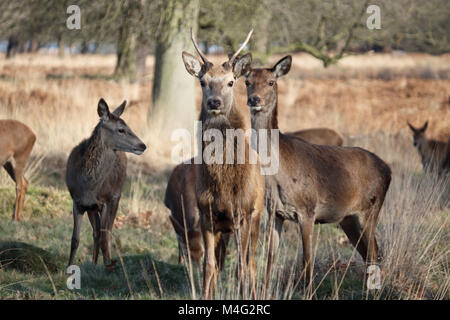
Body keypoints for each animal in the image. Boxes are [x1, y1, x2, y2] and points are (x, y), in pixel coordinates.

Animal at [66, 99, 147, 268]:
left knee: (107, 233)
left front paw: (107, 266)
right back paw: (94, 263)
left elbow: (105, 237)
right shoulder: (77, 201)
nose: (143, 145)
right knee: (96, 232)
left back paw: (106, 262)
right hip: (92, 208)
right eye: (121, 129)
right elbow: (75, 239)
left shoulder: (106, 200)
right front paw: (68, 268)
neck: (87, 186)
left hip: (116, 196)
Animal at [182, 28, 268, 298]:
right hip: (225, 228)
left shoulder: (244, 214)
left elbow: (242, 266)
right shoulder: (206, 215)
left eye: (231, 82)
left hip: (257, 216)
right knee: (220, 262)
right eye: (203, 81)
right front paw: (205, 295)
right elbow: (209, 266)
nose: (214, 103)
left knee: (251, 263)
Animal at [244, 55, 392, 298]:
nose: (254, 99)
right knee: (367, 252)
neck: (277, 176)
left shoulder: (307, 210)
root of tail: (388, 169)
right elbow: (270, 258)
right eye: (247, 82)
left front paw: (310, 294)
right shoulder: (275, 212)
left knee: (374, 252)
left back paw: (373, 293)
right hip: (348, 218)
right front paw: (264, 292)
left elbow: (307, 259)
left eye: (271, 82)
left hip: (371, 208)